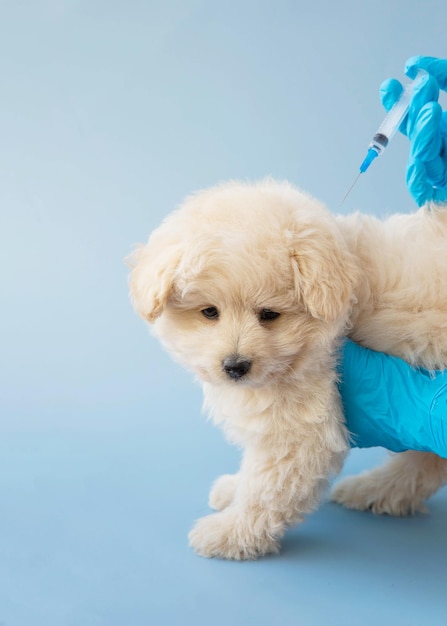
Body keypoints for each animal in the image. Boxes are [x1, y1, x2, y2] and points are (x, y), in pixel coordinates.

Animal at [128, 178, 447, 560]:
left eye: (269, 314)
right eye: (209, 312)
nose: (235, 366)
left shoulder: (300, 425)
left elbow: (266, 488)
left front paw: (229, 533)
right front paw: (235, 489)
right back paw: (376, 491)